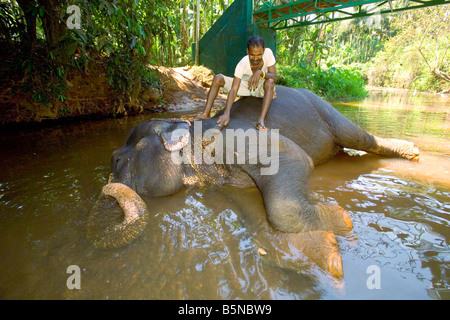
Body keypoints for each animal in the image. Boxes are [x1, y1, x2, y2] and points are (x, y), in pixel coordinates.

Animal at [86, 85, 420, 278]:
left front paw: (342, 221)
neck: (192, 130)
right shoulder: (227, 184)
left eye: (117, 161)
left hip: (324, 108)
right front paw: (325, 253)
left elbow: (294, 157)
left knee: (358, 137)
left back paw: (412, 152)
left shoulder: (236, 139)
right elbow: (253, 211)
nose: (107, 188)